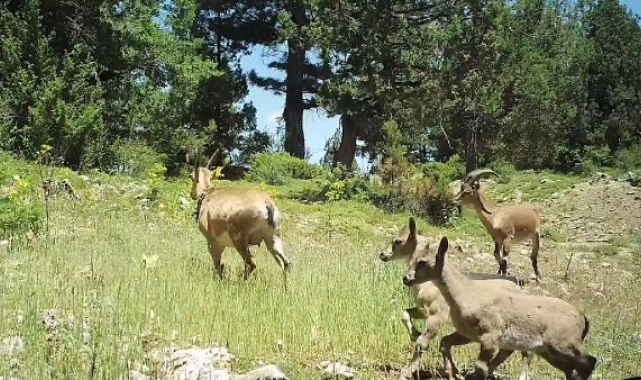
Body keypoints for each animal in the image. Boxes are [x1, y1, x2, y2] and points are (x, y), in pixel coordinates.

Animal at [380, 218, 528, 378]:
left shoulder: (437, 315)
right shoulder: (424, 310)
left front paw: (408, 371)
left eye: (398, 241)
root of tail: (520, 288)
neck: (428, 286)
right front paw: (414, 334)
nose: (383, 254)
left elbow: (423, 343)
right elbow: (405, 314)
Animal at [402, 236, 596, 378]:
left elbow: (480, 367)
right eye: (413, 258)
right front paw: (453, 373)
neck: (467, 294)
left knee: (589, 361)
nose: (406, 278)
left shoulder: (490, 337)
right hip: (549, 351)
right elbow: (445, 343)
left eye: (423, 261)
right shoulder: (469, 335)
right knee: (574, 367)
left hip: (562, 344)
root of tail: (583, 319)